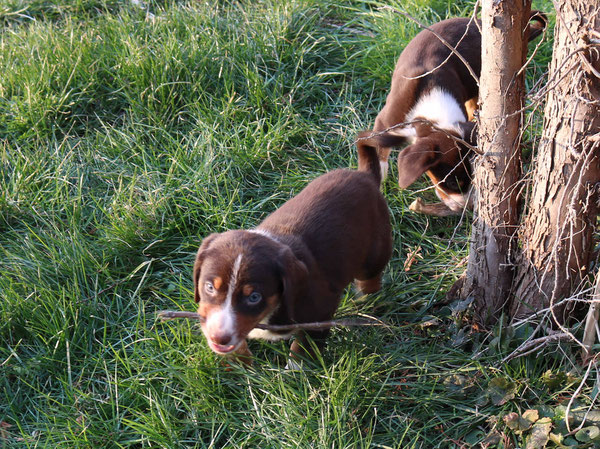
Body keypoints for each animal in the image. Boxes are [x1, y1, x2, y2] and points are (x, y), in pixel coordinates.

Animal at [192, 144, 396, 368]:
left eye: (254, 297)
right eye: (209, 287)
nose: (219, 338)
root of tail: (365, 176)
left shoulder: (320, 313)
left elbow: (304, 347)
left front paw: (296, 371)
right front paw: (241, 365)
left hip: (375, 249)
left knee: (371, 276)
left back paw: (365, 298)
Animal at [360, 10, 548, 214]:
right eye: (451, 182)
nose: (467, 207)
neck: (432, 113)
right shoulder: (386, 123)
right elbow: (377, 152)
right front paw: (378, 180)